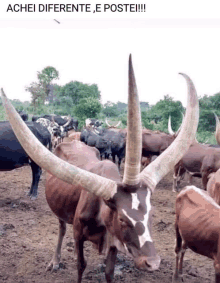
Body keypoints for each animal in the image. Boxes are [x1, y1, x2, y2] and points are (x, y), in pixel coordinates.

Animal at [0, 56, 199, 283]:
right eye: (122, 219)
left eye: (152, 213)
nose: (153, 263)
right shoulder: (78, 235)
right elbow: (80, 264)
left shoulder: (114, 242)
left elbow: (109, 272)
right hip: (59, 212)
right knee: (61, 229)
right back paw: (55, 261)